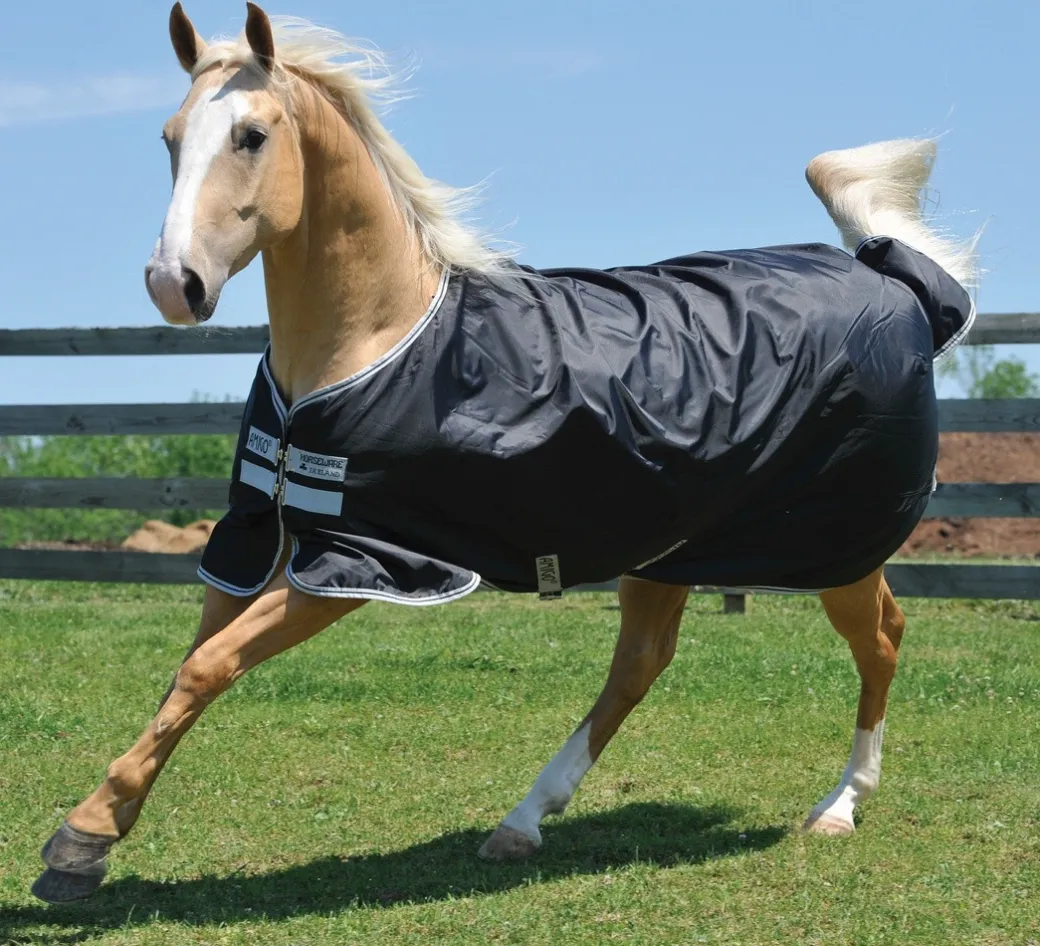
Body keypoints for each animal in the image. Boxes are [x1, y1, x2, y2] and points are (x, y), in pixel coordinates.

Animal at [31, 2, 979, 903]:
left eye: (251, 135)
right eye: (168, 137)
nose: (174, 284)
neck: (375, 342)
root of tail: (893, 284)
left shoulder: (365, 561)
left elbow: (207, 668)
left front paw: (82, 838)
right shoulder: (256, 538)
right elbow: (187, 672)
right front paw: (93, 841)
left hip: (834, 544)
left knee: (882, 638)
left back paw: (839, 805)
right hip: (670, 548)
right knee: (640, 666)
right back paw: (523, 822)